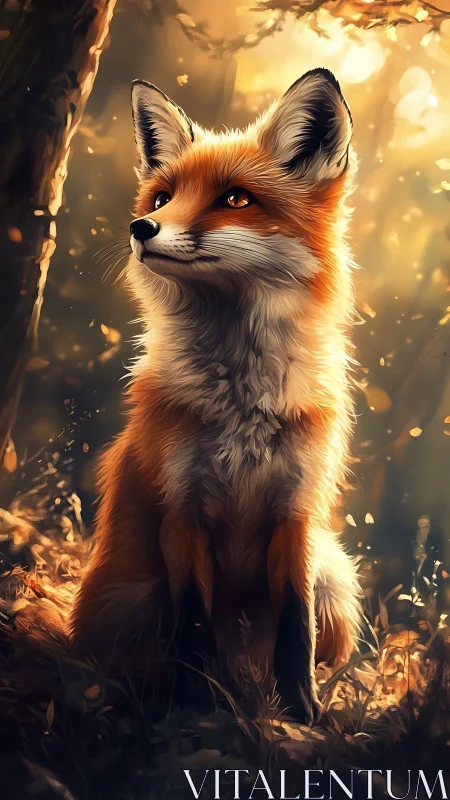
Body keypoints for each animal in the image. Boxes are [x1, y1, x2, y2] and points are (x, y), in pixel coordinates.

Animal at [70, 67, 362, 724]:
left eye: (235, 199)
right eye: (160, 199)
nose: (141, 229)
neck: (242, 404)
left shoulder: (296, 514)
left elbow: (296, 628)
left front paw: (301, 715)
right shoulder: (182, 510)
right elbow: (193, 625)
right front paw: (196, 709)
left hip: (337, 580)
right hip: (133, 598)